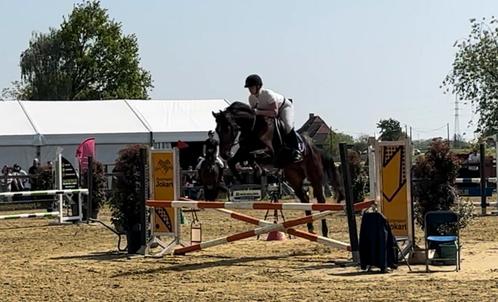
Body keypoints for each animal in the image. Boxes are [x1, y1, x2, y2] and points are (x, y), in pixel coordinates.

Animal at [212, 102, 344, 238]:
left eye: (228, 128)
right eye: (217, 130)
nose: (224, 153)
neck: (253, 127)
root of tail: (317, 150)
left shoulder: (269, 153)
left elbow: (253, 155)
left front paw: (257, 170)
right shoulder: (243, 151)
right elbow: (234, 161)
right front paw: (243, 176)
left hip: (314, 175)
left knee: (320, 200)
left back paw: (324, 231)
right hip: (294, 178)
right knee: (305, 199)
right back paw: (310, 228)